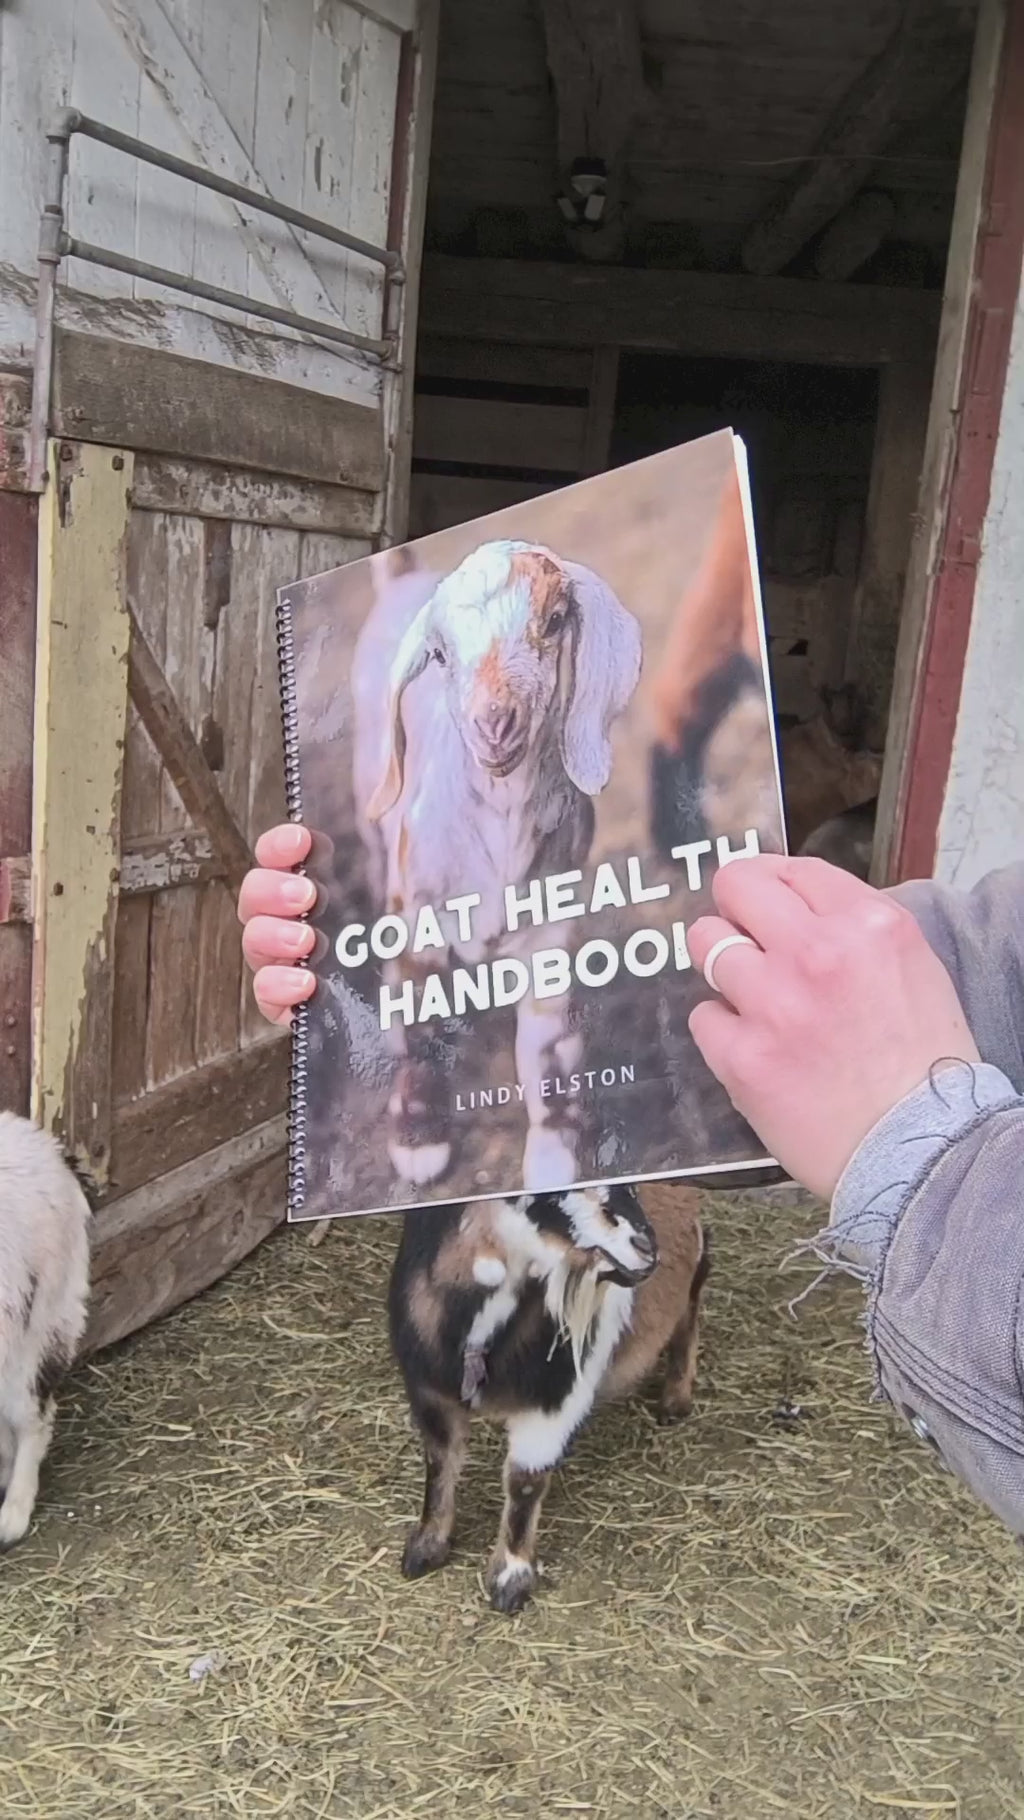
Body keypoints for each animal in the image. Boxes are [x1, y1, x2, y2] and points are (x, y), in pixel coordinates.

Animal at [352, 539, 642, 1195]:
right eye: (438, 653)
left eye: (555, 621)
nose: (494, 723)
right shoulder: (418, 917)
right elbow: (420, 1026)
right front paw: (418, 1142)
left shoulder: (550, 934)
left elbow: (547, 1049)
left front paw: (555, 1161)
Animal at [389, 1180, 708, 1613]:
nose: (646, 1248)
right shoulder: (429, 1389)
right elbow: (440, 1461)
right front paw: (427, 1547)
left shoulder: (555, 1399)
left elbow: (525, 1482)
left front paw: (510, 1578)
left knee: (692, 1296)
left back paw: (676, 1397)